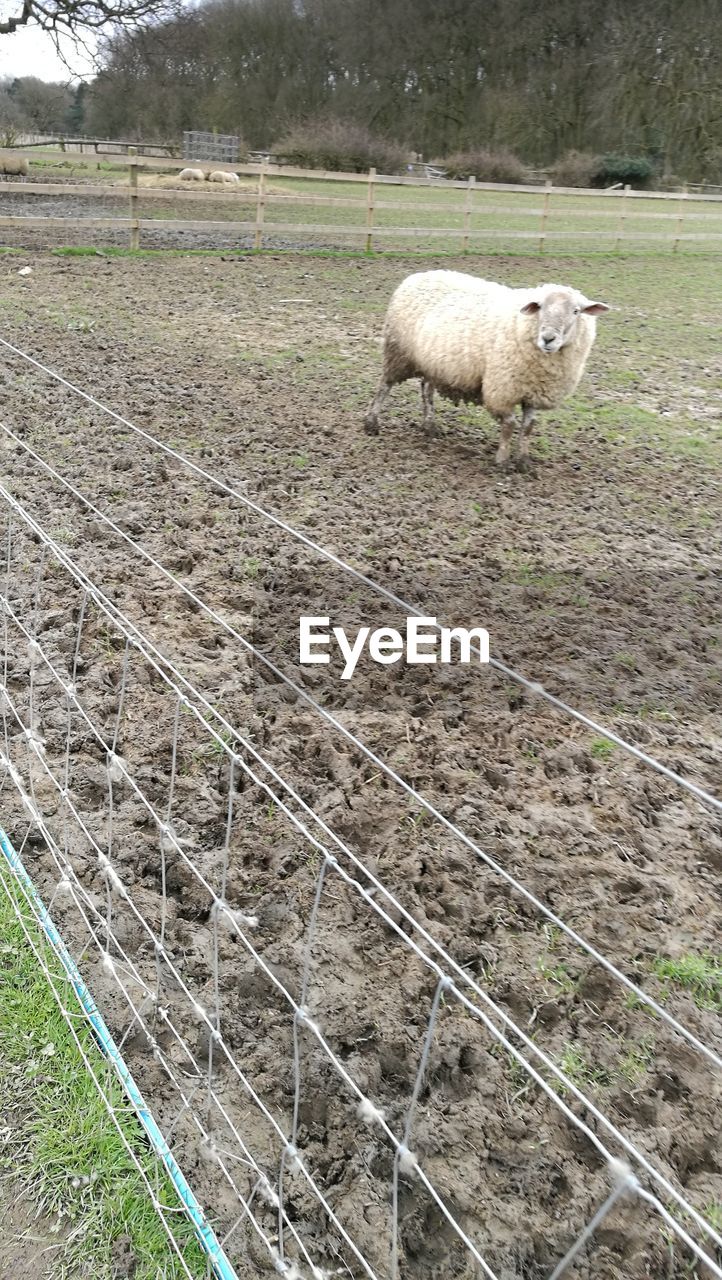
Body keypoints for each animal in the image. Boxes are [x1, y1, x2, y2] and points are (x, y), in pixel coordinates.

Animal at [361, 270, 609, 471]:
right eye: (539, 307)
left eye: (576, 311)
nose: (548, 338)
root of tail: (418, 275)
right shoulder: (502, 389)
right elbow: (509, 425)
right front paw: (502, 461)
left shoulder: (532, 391)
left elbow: (528, 427)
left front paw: (524, 462)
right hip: (398, 352)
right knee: (384, 386)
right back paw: (371, 423)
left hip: (434, 361)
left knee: (426, 390)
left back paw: (430, 426)